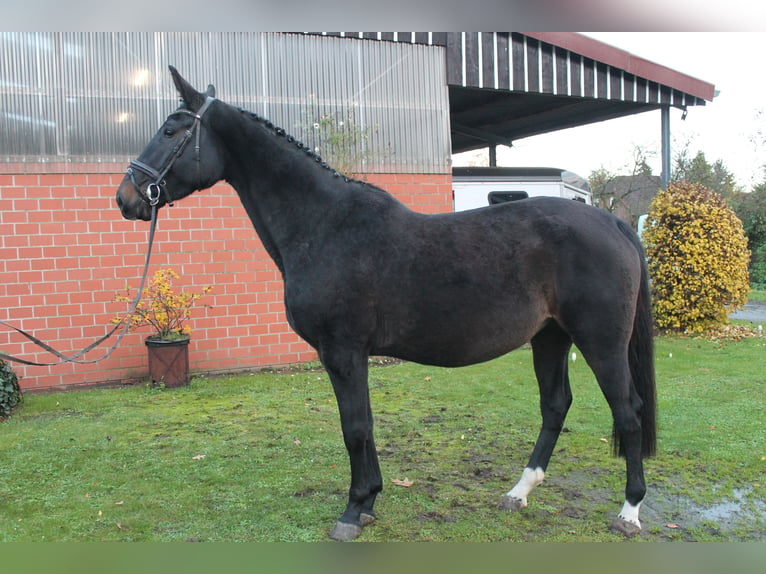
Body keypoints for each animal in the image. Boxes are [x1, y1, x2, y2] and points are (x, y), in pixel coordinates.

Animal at [117, 65, 656, 544]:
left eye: (171, 130)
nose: (127, 197)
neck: (324, 225)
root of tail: (611, 222)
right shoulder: (352, 355)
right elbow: (367, 425)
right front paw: (370, 501)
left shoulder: (342, 351)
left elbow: (354, 427)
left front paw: (353, 510)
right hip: (550, 337)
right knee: (555, 405)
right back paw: (519, 492)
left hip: (600, 342)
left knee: (627, 411)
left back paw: (629, 512)